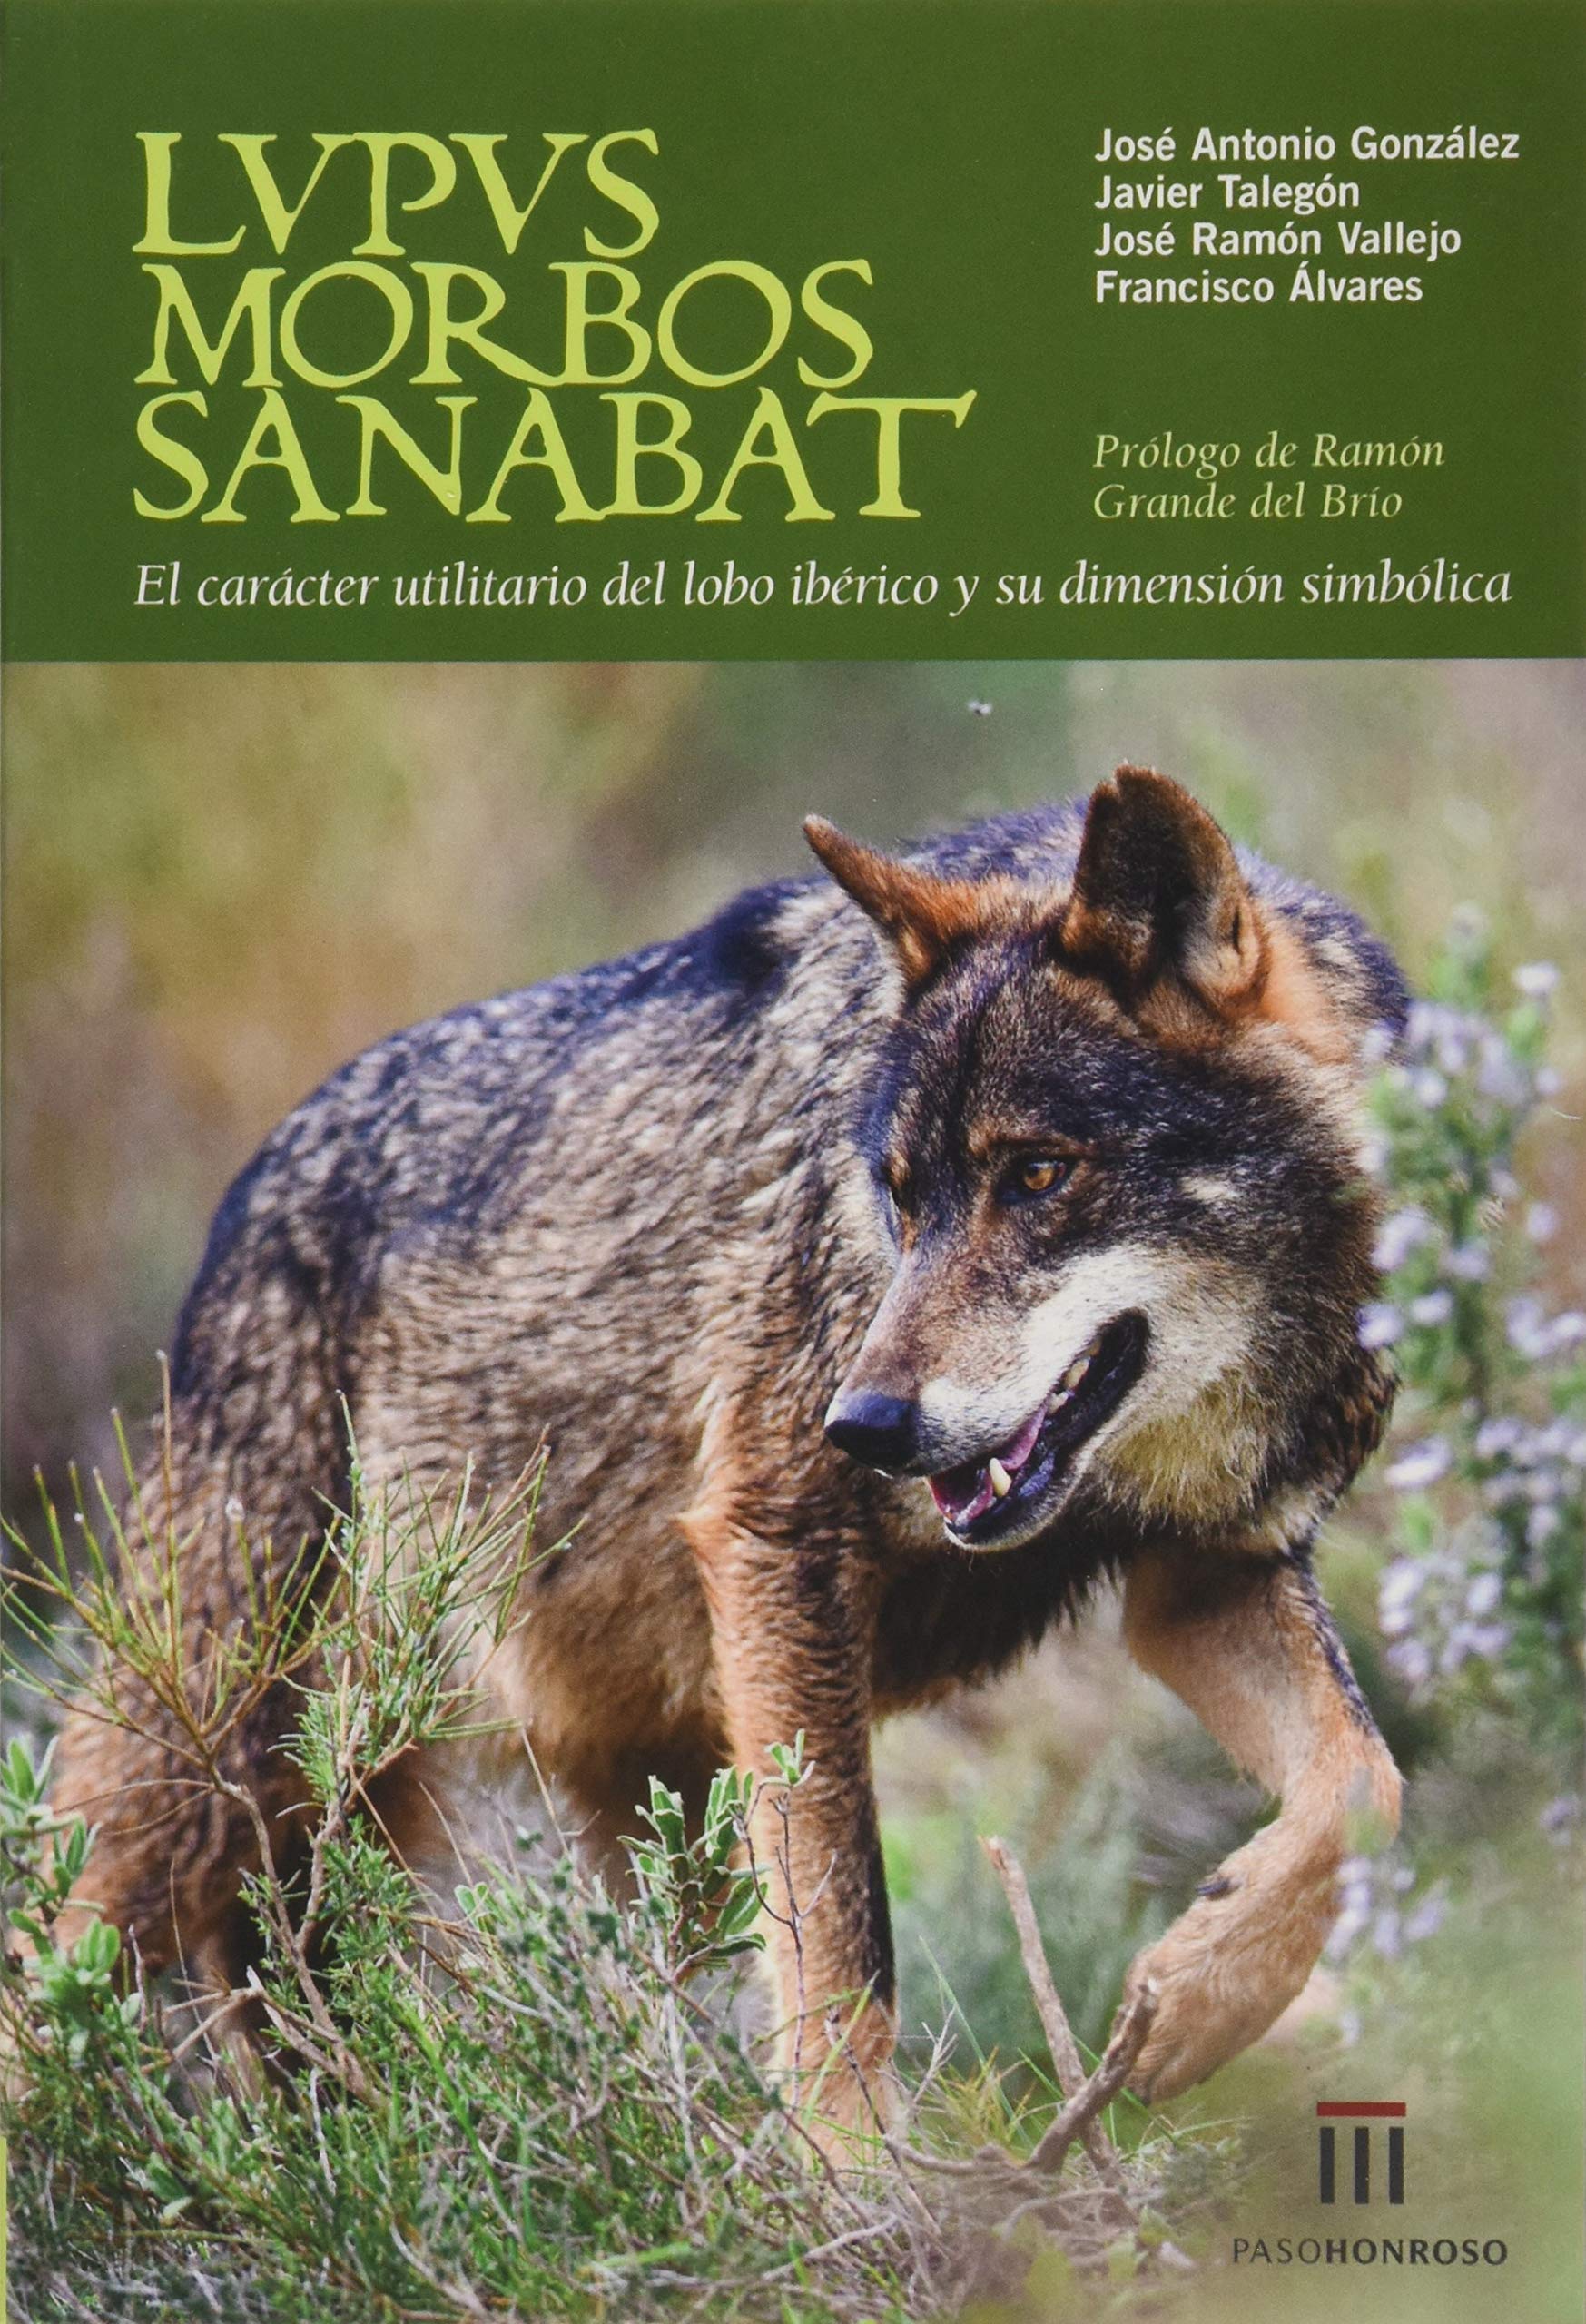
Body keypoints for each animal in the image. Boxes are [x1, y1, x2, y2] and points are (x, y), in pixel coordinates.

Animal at [50, 766, 1406, 2121]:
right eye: (897, 1197)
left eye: (1035, 1174)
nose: (861, 1426)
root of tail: (244, 1201)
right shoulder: (777, 1534)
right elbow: (843, 1941)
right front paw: (862, 2169)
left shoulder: (1208, 1576)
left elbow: (1360, 1784)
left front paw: (1201, 1991)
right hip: (203, 1773)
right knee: (55, 1960)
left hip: (636, 1803)